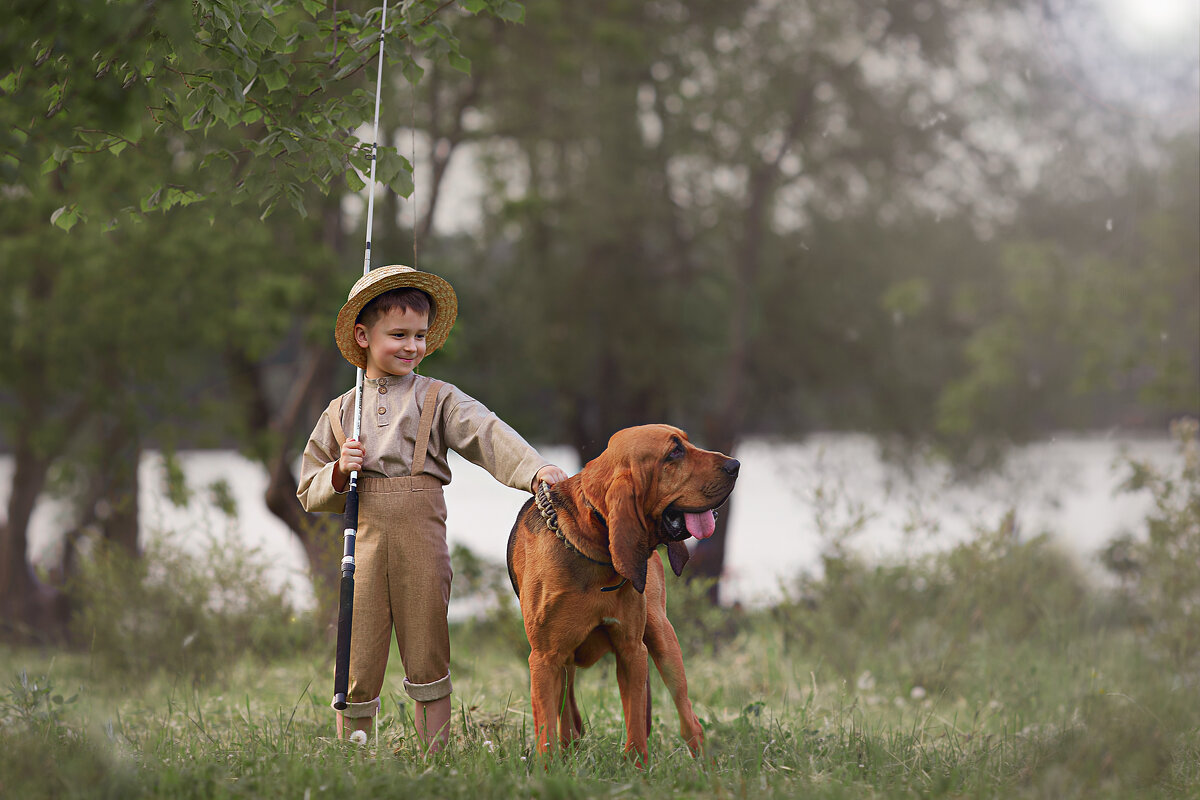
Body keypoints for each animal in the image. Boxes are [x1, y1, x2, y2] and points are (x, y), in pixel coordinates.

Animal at [501, 424, 734, 762]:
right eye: (674, 452)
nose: (736, 465)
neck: (592, 546)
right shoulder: (544, 660)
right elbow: (547, 733)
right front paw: (550, 769)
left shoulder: (632, 651)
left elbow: (635, 725)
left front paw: (636, 768)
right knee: (567, 715)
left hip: (663, 639)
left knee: (690, 720)